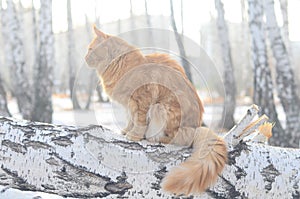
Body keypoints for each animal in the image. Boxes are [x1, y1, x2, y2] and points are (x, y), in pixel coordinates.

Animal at [85, 26, 227, 196]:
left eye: (90, 49)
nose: (85, 58)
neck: (120, 66)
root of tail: (196, 128)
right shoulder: (129, 105)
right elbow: (130, 119)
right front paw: (126, 131)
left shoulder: (142, 99)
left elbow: (138, 122)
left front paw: (134, 136)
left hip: (160, 108)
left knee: (176, 138)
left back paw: (154, 138)